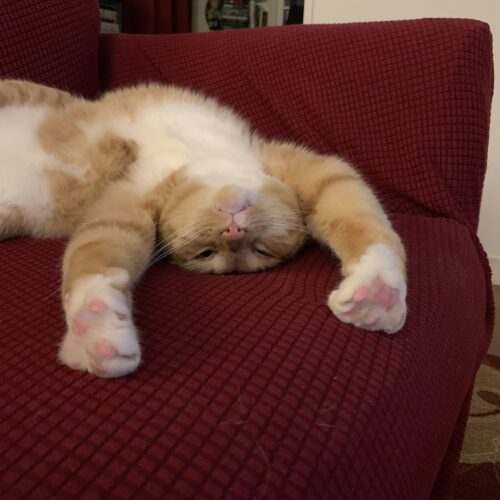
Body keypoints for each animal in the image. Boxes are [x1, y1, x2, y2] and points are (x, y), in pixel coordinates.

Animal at [0, 78, 406, 376]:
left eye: (260, 250)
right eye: (206, 252)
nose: (233, 234)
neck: (199, 158)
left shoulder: (124, 205)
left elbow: (99, 245)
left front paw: (379, 292)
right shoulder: (302, 166)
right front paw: (95, 325)